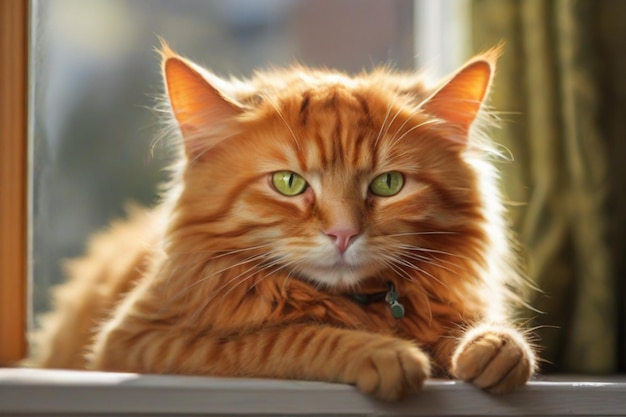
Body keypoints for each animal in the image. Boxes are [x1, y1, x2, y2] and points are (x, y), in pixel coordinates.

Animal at [30, 41, 536, 400]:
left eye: (388, 184)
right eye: (289, 183)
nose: (343, 233)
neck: (355, 303)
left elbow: (472, 327)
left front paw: (494, 346)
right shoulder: (139, 341)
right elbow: (291, 337)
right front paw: (385, 353)